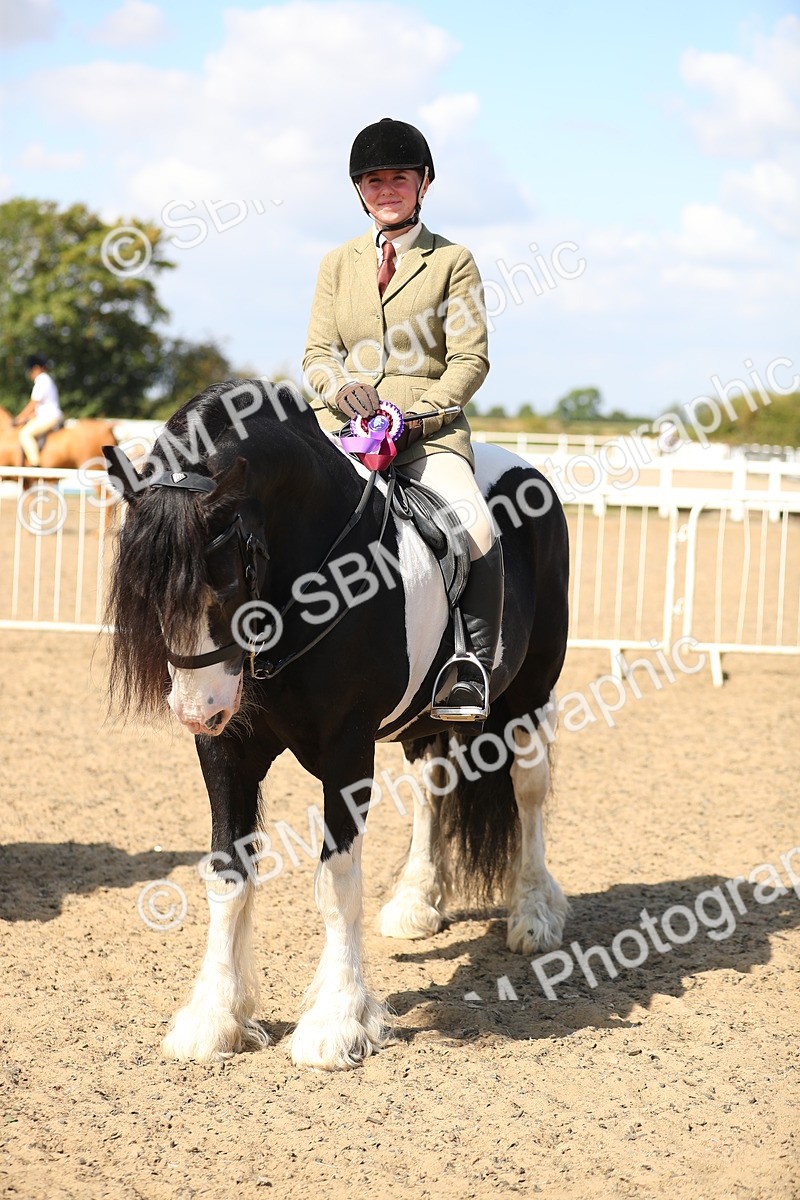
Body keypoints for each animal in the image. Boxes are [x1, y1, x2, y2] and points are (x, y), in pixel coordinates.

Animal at [104, 379, 570, 1071]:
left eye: (230, 573)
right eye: (148, 591)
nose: (196, 711)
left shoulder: (347, 750)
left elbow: (337, 880)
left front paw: (336, 1021)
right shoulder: (227, 752)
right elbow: (226, 875)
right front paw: (215, 1018)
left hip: (530, 695)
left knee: (529, 791)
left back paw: (535, 914)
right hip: (424, 721)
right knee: (432, 790)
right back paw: (415, 903)